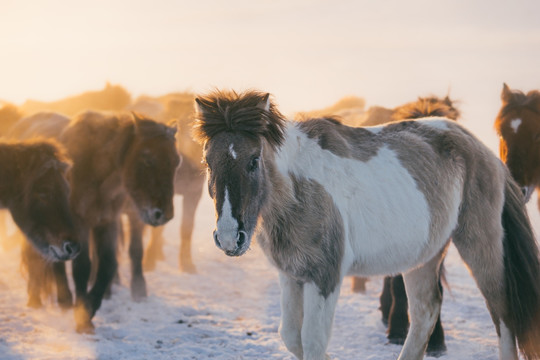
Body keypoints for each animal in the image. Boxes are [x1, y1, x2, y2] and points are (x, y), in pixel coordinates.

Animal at [193, 89, 540, 360]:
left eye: (253, 161)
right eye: (207, 162)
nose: (229, 237)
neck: (298, 192)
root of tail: (479, 147)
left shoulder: (325, 277)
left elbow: (312, 342)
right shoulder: (291, 275)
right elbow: (291, 336)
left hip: (480, 245)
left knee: (503, 314)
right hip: (426, 257)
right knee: (425, 313)